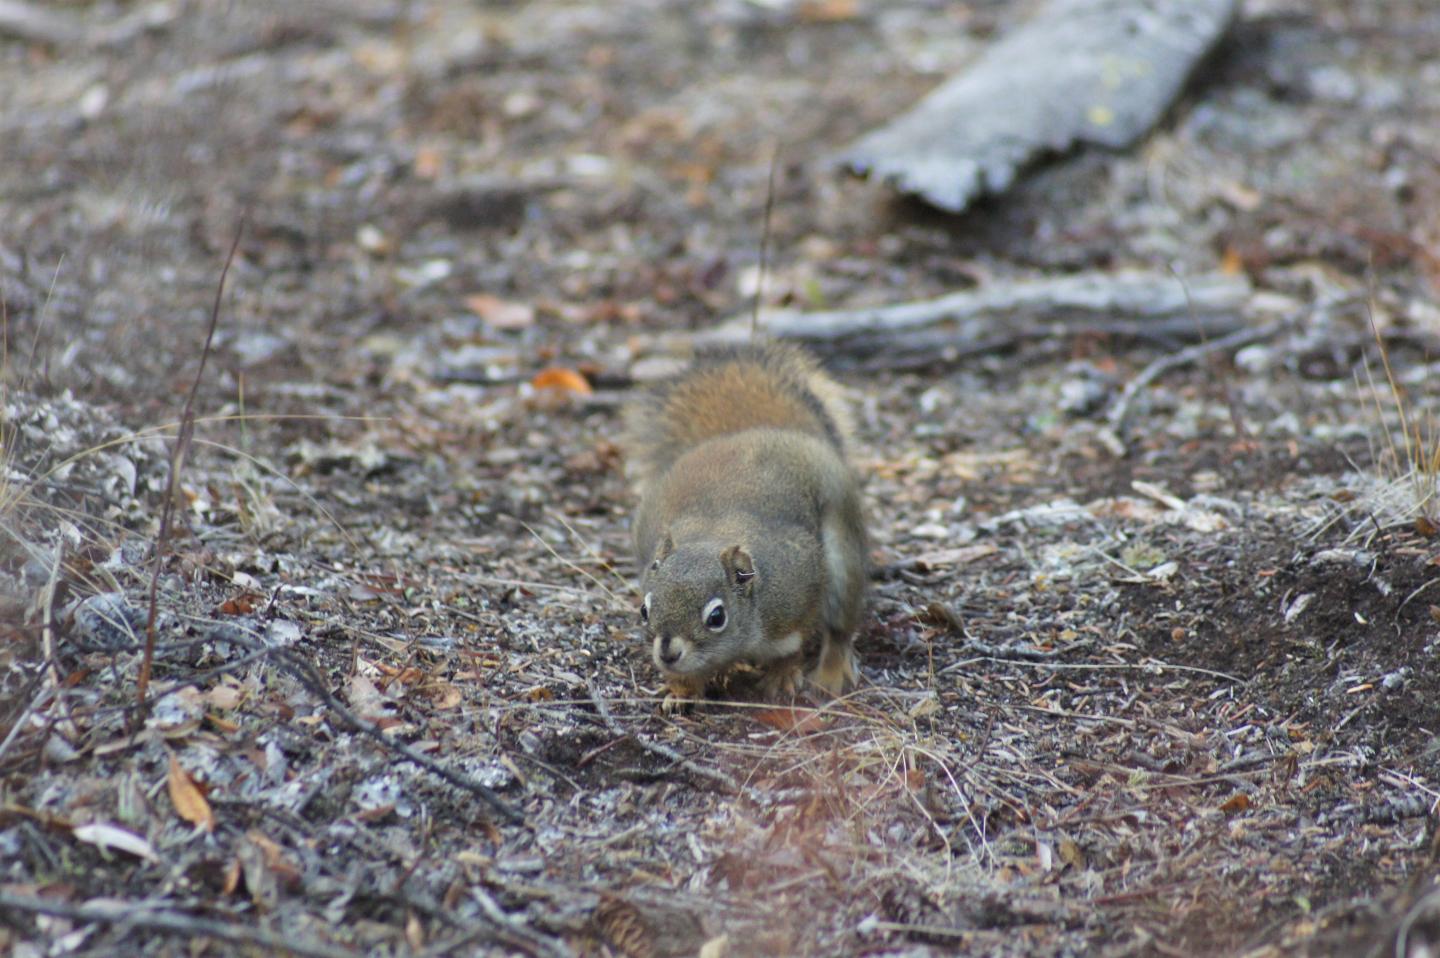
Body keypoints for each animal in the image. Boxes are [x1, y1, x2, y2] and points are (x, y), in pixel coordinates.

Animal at [621, 342, 868, 710]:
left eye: (716, 617)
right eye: (644, 610)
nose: (668, 654)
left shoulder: (795, 591)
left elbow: (793, 644)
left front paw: (782, 674)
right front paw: (682, 690)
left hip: (844, 551)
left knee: (839, 625)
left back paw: (831, 672)